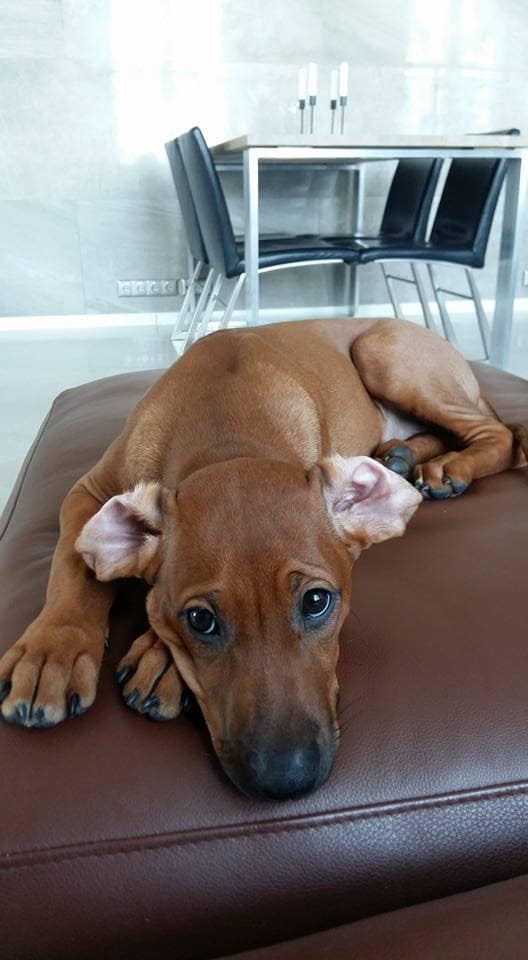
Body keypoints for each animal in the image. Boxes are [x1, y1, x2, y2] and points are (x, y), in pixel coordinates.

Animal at [1, 317, 526, 800]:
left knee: (497, 432)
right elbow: (72, 566)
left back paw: (448, 467)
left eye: (316, 602)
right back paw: (400, 456)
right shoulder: (86, 493)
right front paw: (52, 649)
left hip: (383, 353)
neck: (227, 432)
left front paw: (157, 656)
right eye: (200, 620)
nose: (284, 779)